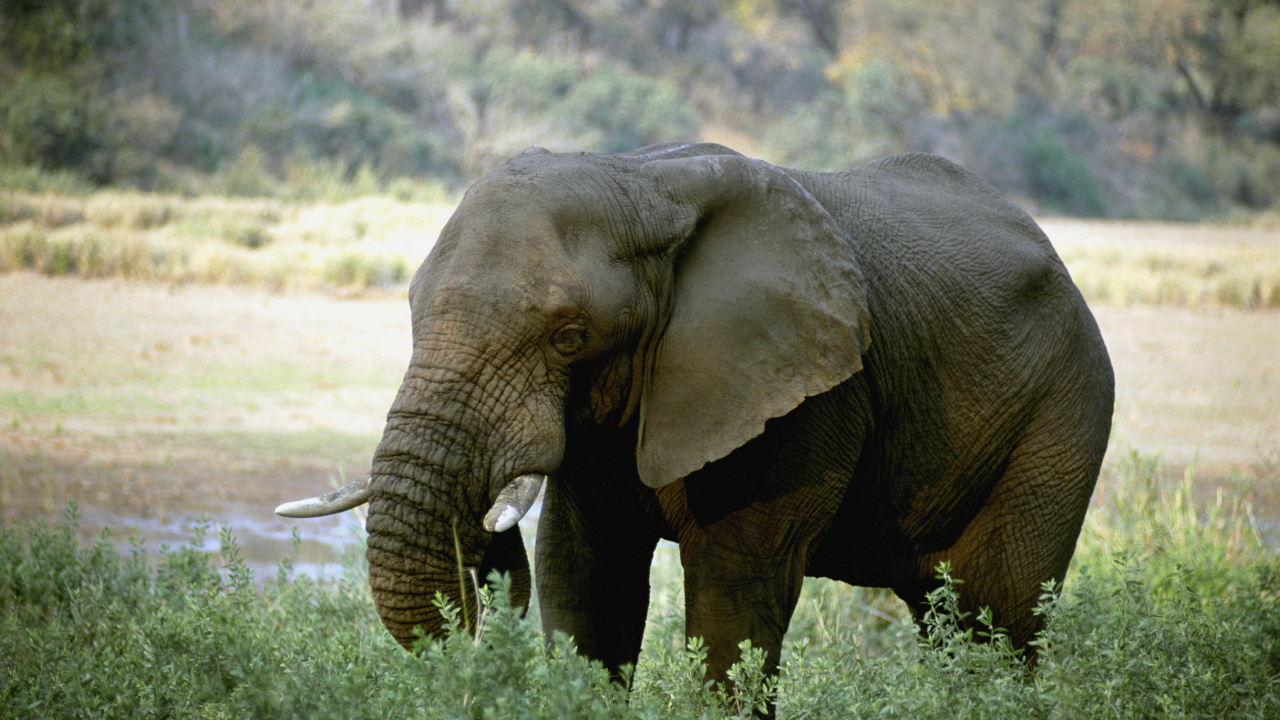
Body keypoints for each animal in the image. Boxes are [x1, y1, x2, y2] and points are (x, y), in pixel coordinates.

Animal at [277, 140, 1111, 702]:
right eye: (412, 309)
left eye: (568, 338)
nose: (487, 550)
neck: (641, 180)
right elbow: (585, 579)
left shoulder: (798, 396)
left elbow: (732, 598)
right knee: (947, 623)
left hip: (1065, 407)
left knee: (998, 615)